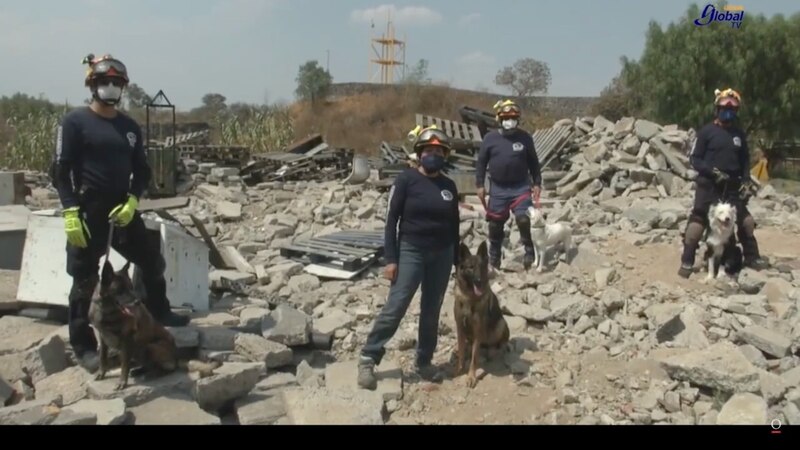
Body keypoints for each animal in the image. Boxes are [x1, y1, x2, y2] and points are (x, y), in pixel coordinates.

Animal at [88, 260, 219, 390]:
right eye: (120, 290)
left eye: (131, 288)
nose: (138, 302)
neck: (106, 311)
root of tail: (175, 357)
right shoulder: (103, 338)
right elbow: (102, 358)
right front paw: (101, 373)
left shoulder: (127, 340)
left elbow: (124, 365)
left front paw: (122, 382)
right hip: (137, 351)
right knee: (149, 365)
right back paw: (139, 371)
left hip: (150, 347)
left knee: (168, 368)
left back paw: (151, 374)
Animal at [454, 241, 510, 388]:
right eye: (471, 268)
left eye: (481, 267)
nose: (478, 280)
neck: (469, 298)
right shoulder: (460, 327)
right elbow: (461, 350)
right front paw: (459, 369)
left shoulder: (478, 330)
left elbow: (474, 358)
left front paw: (471, 377)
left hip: (501, 323)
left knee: (501, 342)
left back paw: (498, 349)